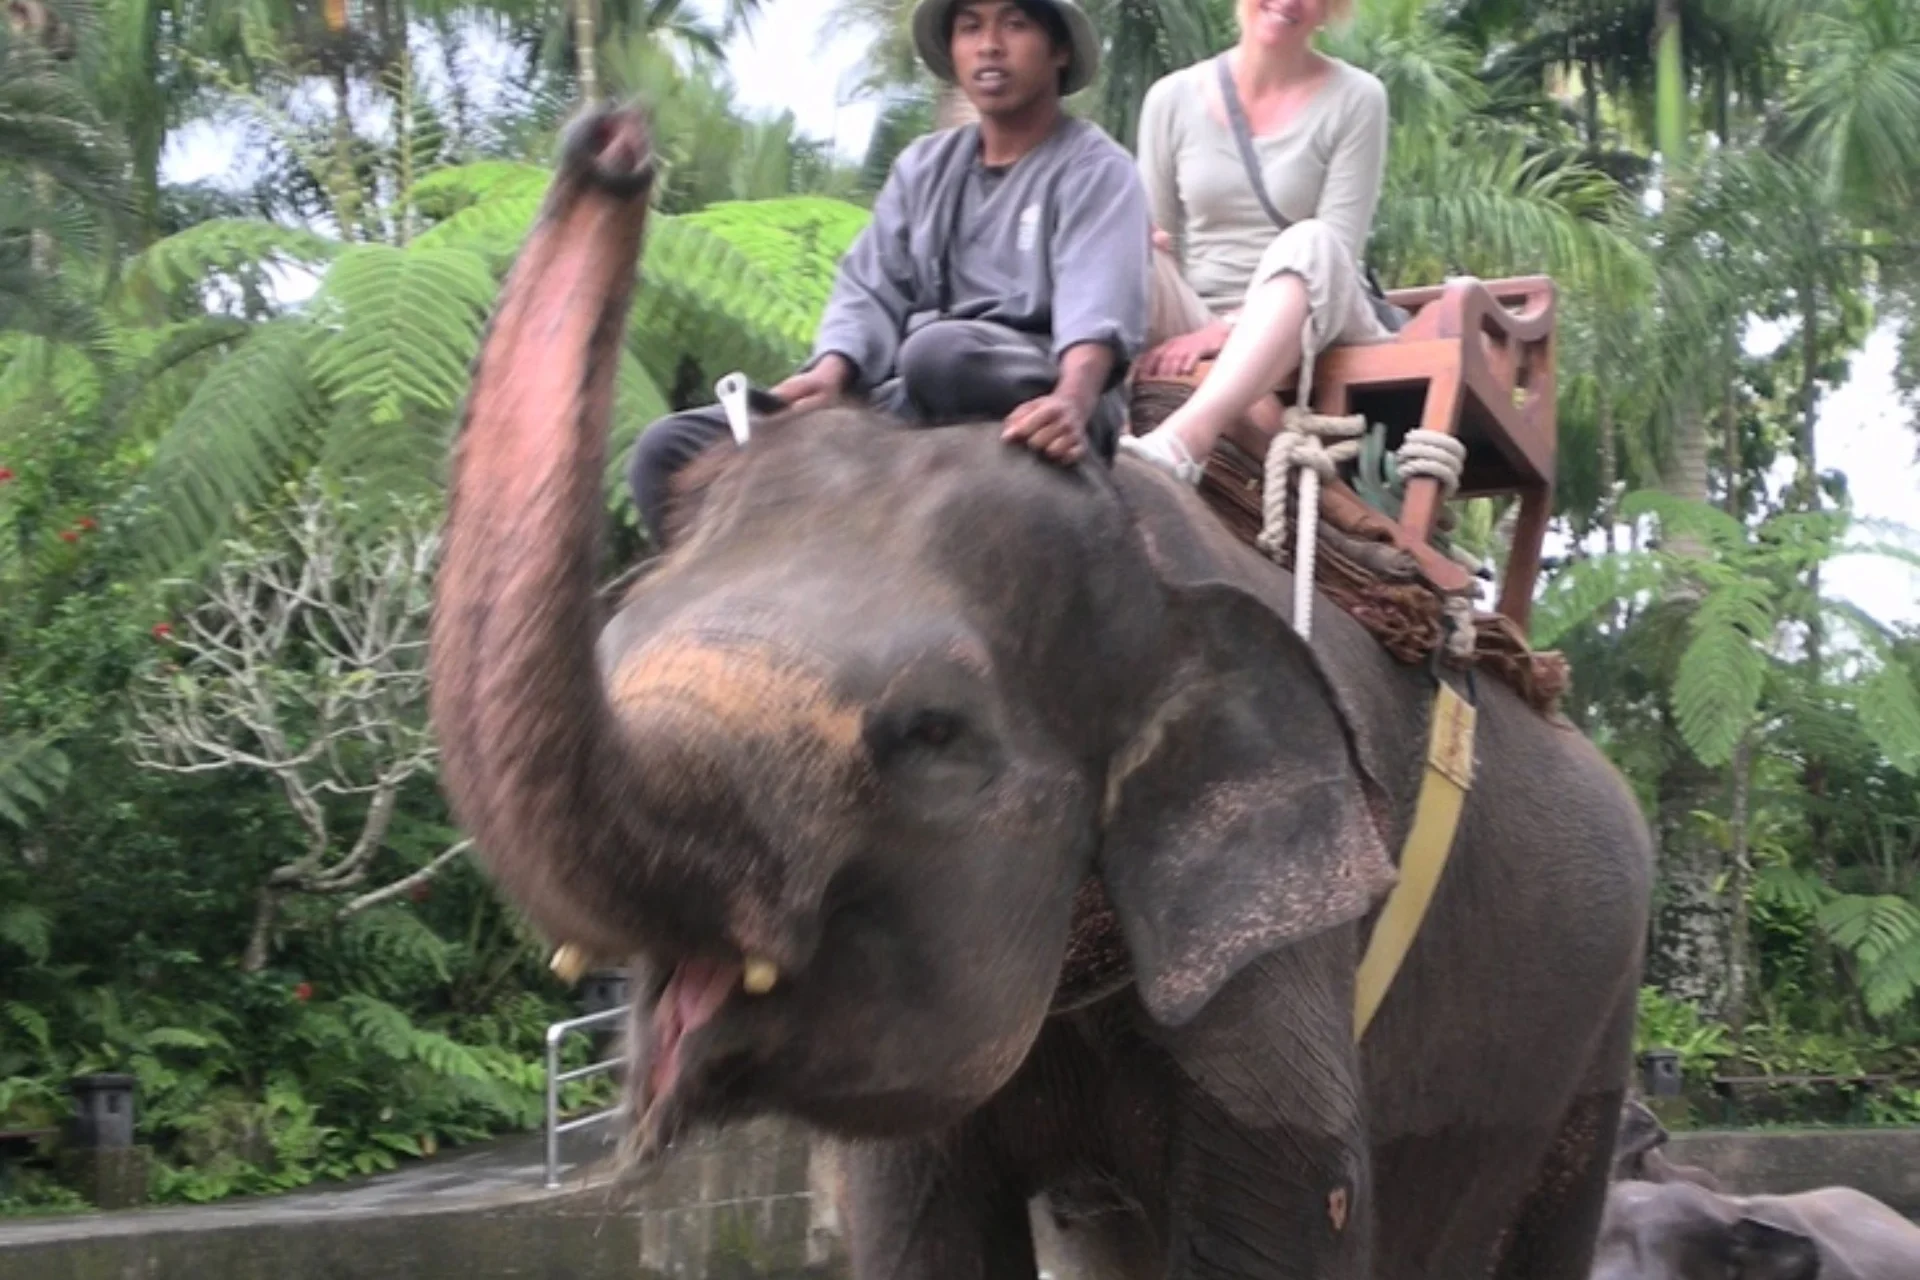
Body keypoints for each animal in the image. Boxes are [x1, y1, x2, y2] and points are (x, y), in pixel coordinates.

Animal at [428, 106, 1655, 1280]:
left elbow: (1295, 1217)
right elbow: (916, 1226)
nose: (613, 141)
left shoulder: (1289, 949)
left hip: (1602, 1013)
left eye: (930, 733)